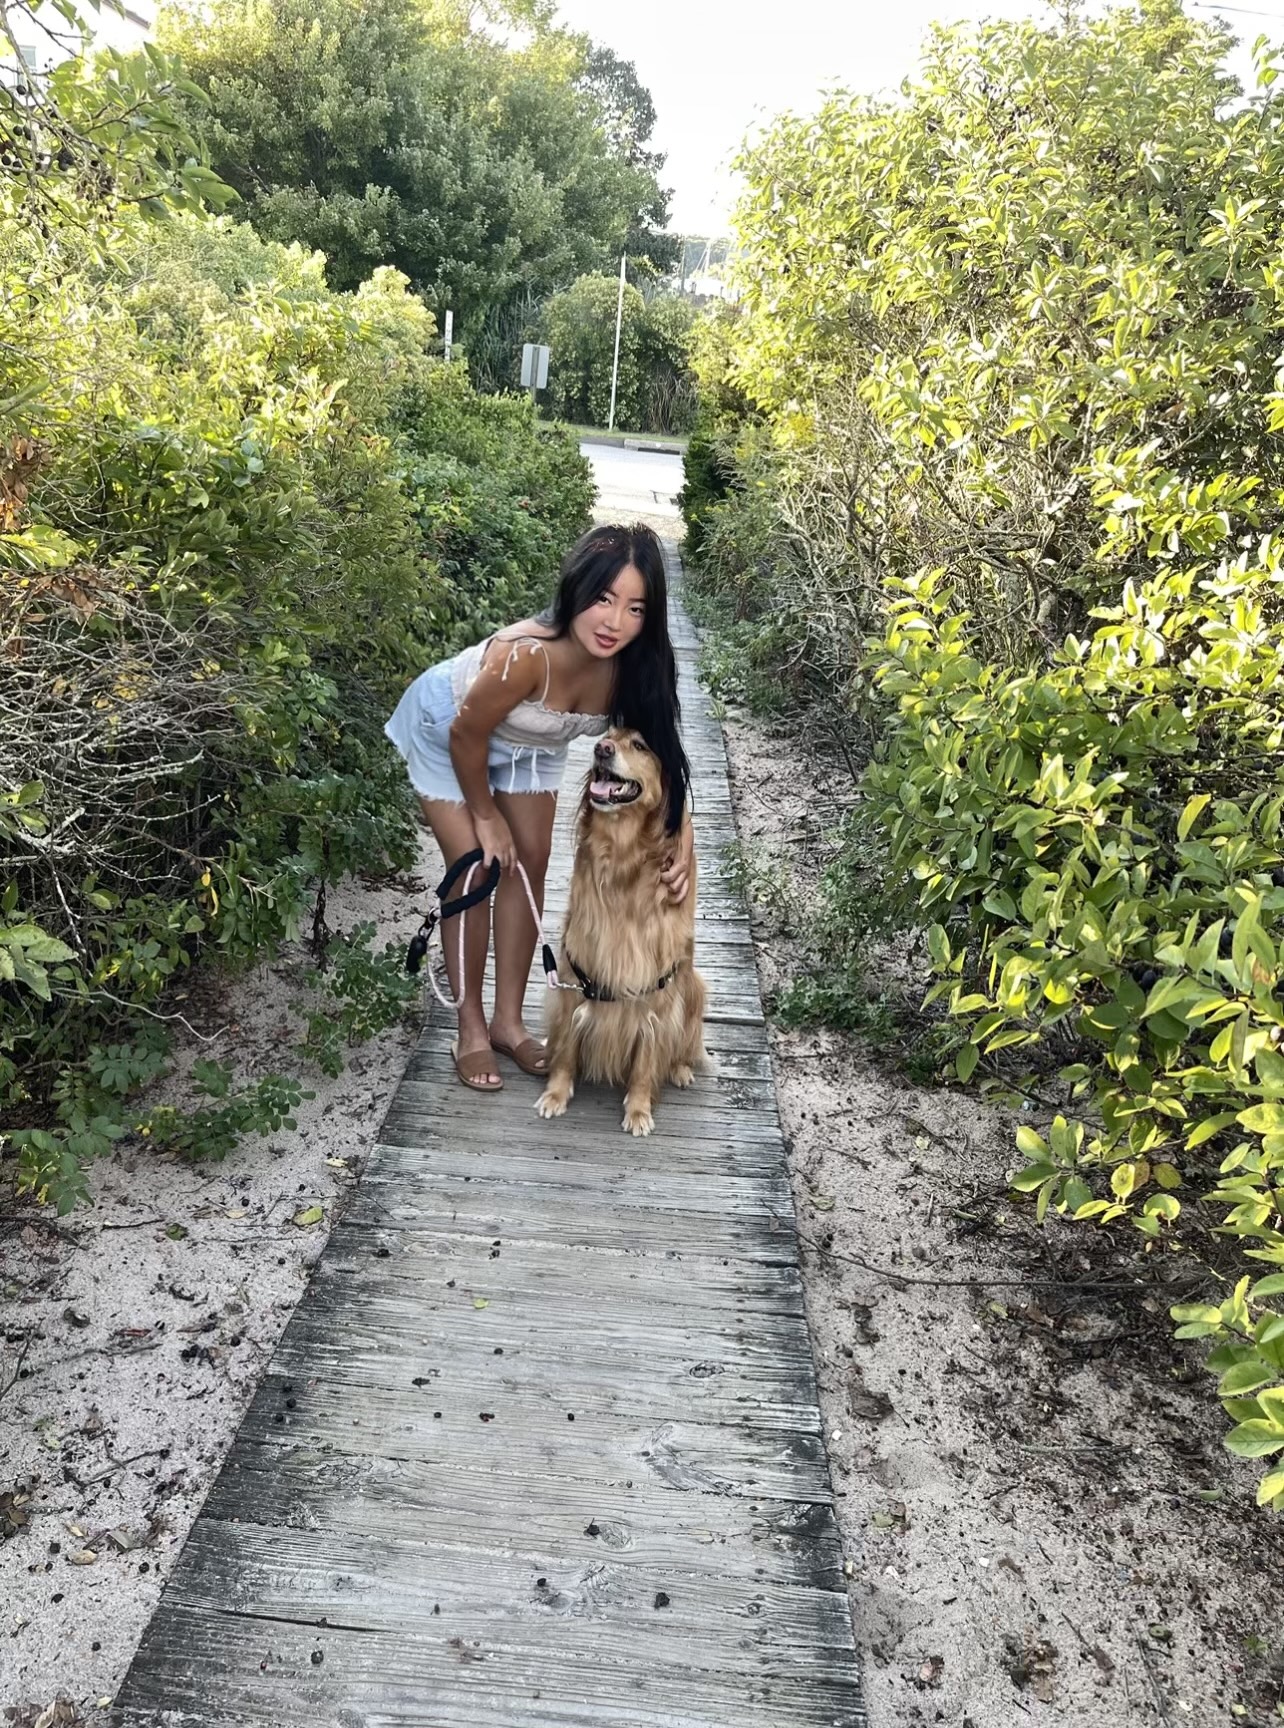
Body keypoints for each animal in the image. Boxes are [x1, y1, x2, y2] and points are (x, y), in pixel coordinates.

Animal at [535, 725, 708, 1140]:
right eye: (607, 735)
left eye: (640, 745)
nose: (602, 749)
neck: (621, 858)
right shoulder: (575, 971)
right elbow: (567, 1046)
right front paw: (556, 1094)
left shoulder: (656, 995)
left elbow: (647, 1058)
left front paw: (639, 1109)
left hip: (694, 986)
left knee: (684, 1043)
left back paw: (680, 1069)